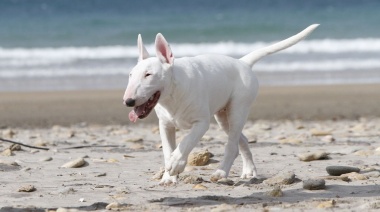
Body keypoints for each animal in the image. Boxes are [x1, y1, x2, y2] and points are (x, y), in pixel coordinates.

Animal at [124, 24, 318, 185]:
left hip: (238, 109)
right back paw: (249, 170)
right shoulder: (165, 125)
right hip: (223, 117)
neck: (173, 94)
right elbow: (167, 149)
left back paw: (221, 173)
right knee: (242, 140)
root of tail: (243, 62)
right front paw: (168, 177)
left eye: (148, 75)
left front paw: (176, 164)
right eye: (131, 74)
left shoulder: (201, 123)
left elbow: (186, 142)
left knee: (232, 145)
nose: (128, 101)